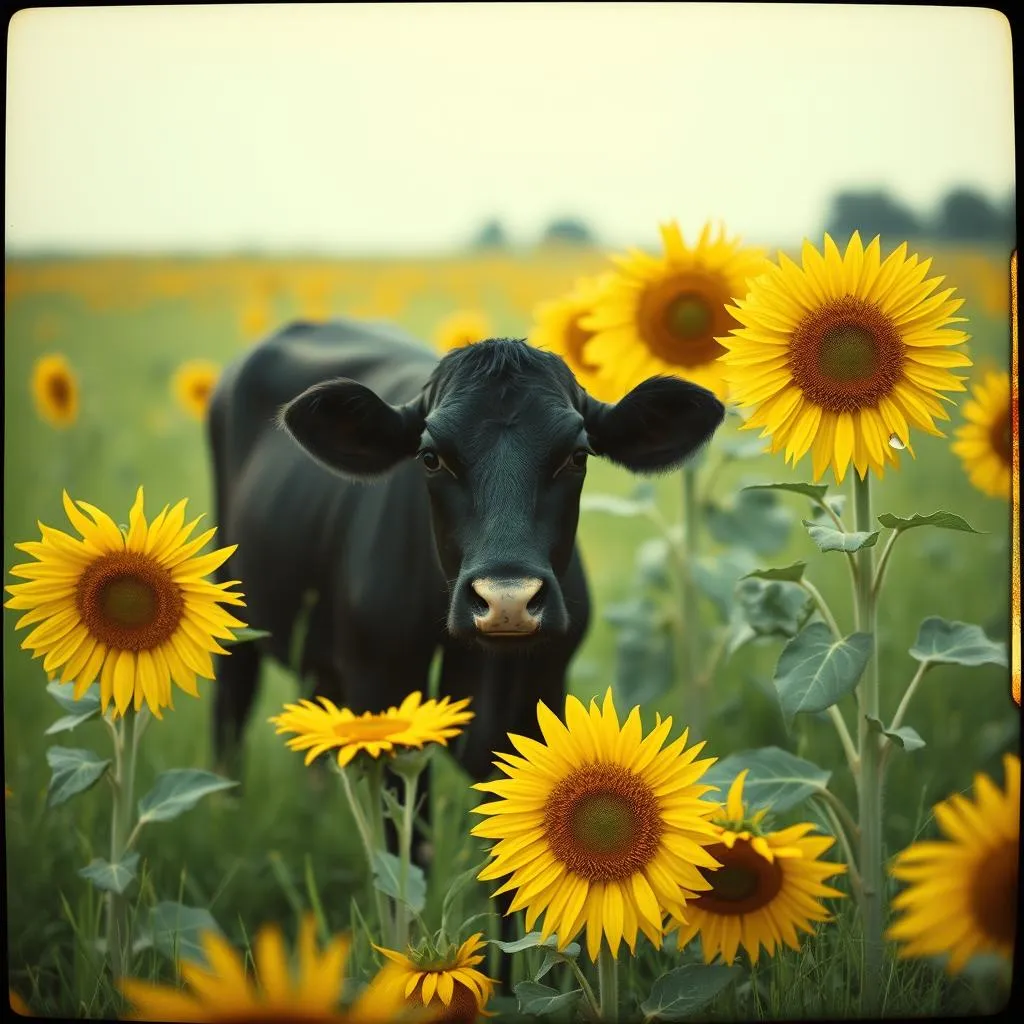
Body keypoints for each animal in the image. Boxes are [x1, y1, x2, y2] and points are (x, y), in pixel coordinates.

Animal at [206, 316, 724, 955]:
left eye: (577, 455)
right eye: (430, 457)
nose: (507, 600)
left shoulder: (539, 700)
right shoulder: (384, 694)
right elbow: (404, 858)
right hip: (232, 608)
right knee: (230, 712)